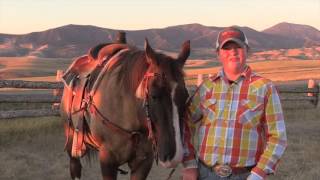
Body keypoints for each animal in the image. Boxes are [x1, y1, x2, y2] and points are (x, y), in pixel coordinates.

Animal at [60, 39, 190, 180]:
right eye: (154, 95)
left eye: (185, 96)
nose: (175, 156)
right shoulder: (107, 160)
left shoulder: (143, 163)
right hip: (72, 144)